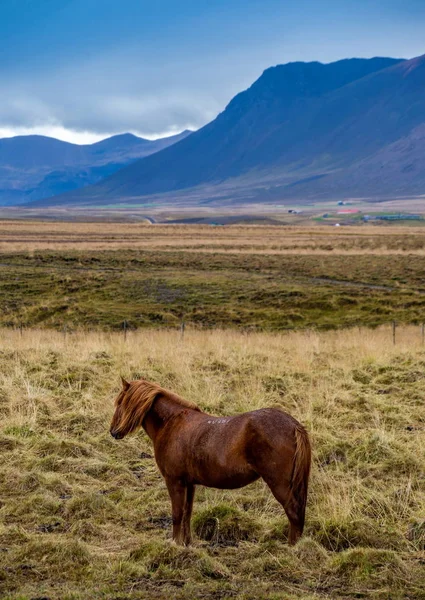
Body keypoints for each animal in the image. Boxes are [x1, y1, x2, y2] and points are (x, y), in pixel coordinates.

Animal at [108, 378, 308, 548]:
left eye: (120, 402)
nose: (113, 432)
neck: (172, 424)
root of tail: (294, 425)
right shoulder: (189, 483)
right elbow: (187, 513)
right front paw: (186, 543)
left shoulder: (174, 481)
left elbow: (177, 514)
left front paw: (175, 544)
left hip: (279, 484)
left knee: (293, 513)